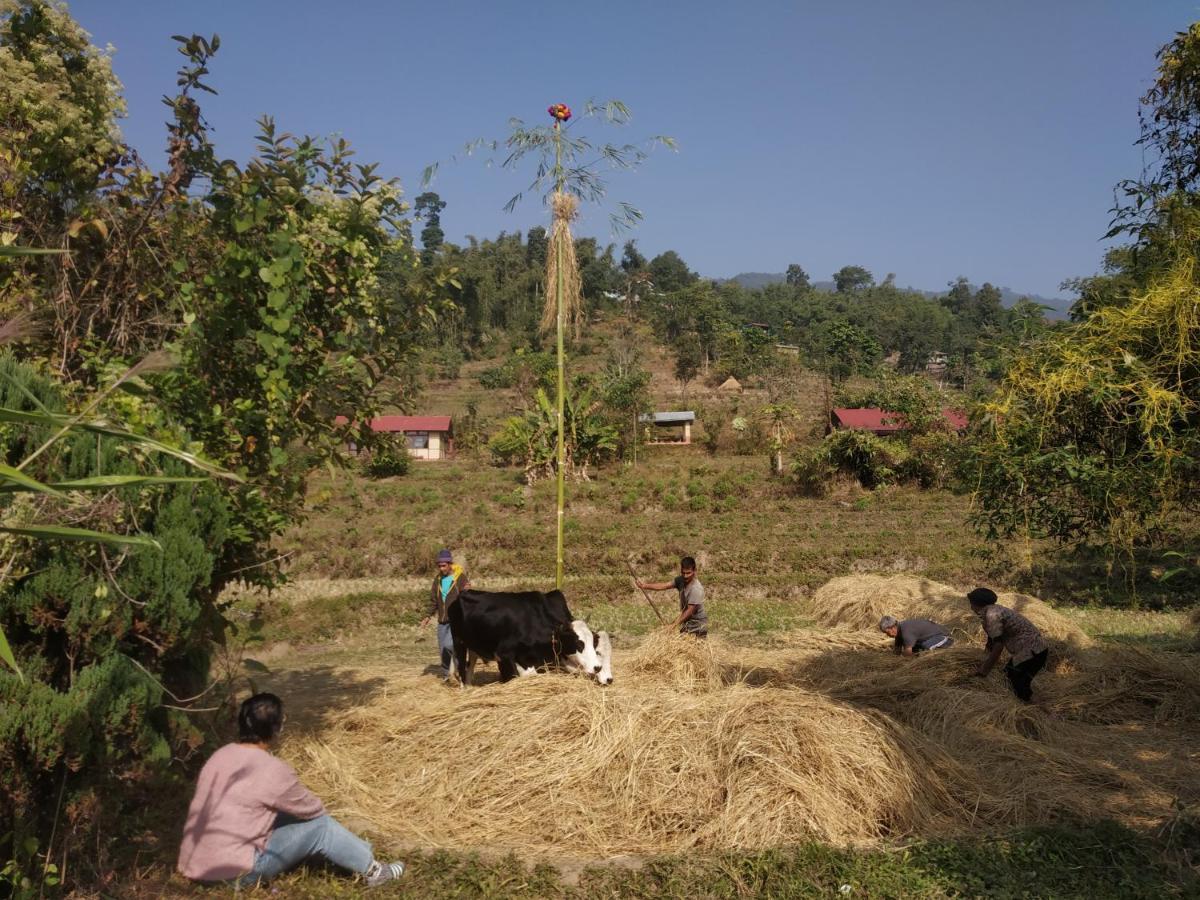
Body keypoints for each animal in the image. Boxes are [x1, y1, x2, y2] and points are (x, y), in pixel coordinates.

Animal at [451, 588, 614, 686]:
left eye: (593, 644)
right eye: (579, 644)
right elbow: (521, 674)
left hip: (474, 644)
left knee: (470, 663)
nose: (598, 668)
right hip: (458, 641)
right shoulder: (504, 654)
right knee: (461, 666)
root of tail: (463, 592)